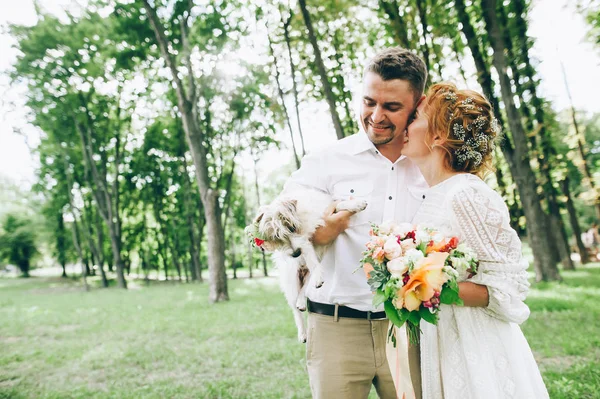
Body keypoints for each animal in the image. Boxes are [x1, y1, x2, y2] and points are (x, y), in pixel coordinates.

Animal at [247, 189, 368, 342]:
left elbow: (339, 204)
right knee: (294, 307)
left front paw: (356, 203)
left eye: (292, 228)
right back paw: (302, 332)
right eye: (276, 238)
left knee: (305, 289)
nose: (295, 254)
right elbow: (310, 258)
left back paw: (303, 300)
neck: (303, 220)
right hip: (291, 283)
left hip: (306, 278)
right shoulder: (306, 243)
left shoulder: (320, 216)